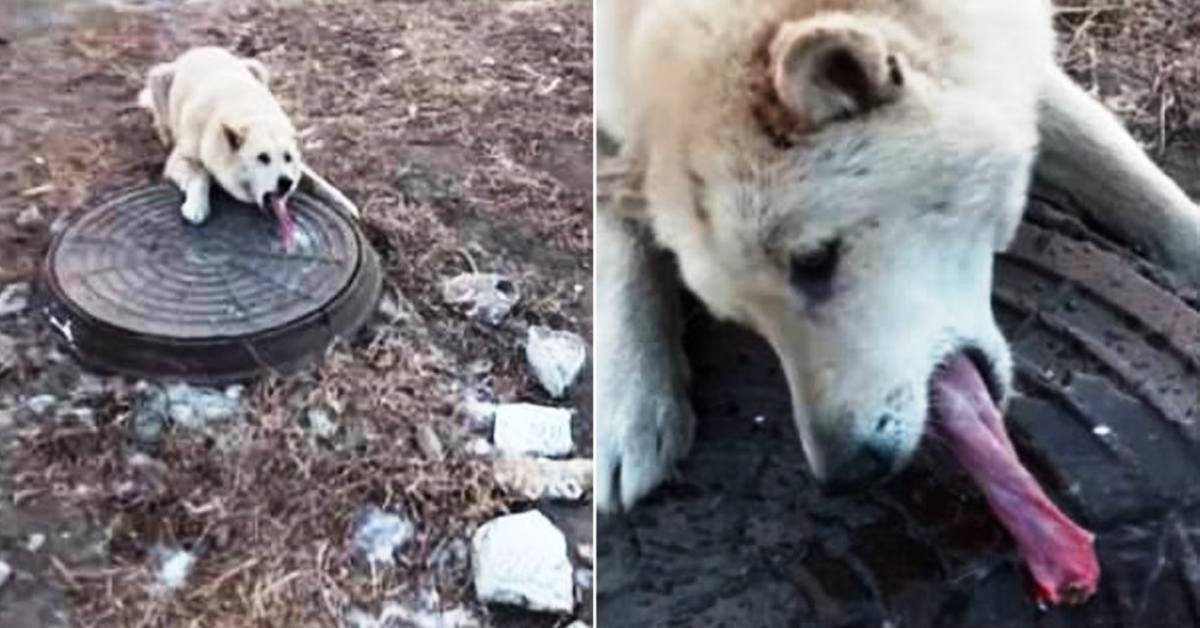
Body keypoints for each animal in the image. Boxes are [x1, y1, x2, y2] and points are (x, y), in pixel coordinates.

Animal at [138, 46, 357, 249]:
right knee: (162, 121)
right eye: (263, 157)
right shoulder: (181, 158)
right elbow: (201, 175)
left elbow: (316, 179)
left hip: (256, 67)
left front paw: (344, 202)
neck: (250, 115)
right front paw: (196, 207)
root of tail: (201, 49)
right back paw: (165, 135)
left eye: (288, 158)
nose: (286, 183)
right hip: (160, 76)